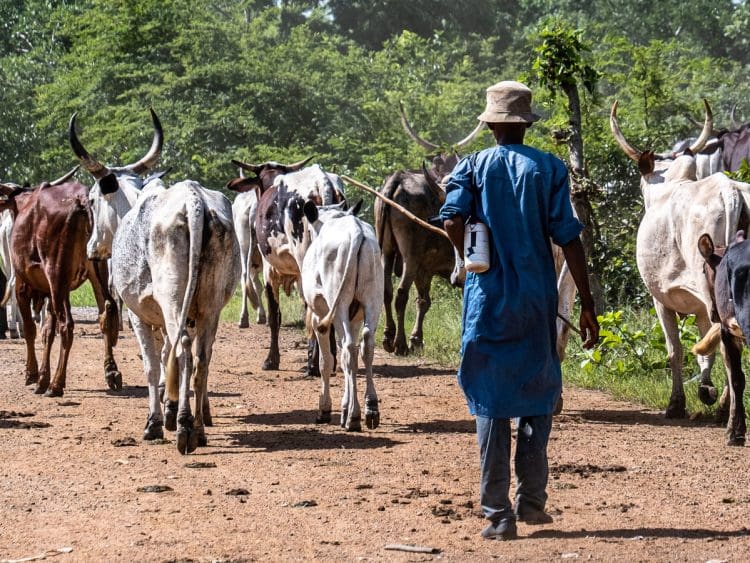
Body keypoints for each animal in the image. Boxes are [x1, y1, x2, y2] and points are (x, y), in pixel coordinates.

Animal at [612, 99, 750, 418]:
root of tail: (730, 191)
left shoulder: (660, 299)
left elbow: (675, 349)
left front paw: (679, 402)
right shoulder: (698, 306)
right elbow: (701, 350)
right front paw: (705, 389)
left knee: (727, 342)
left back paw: (724, 407)